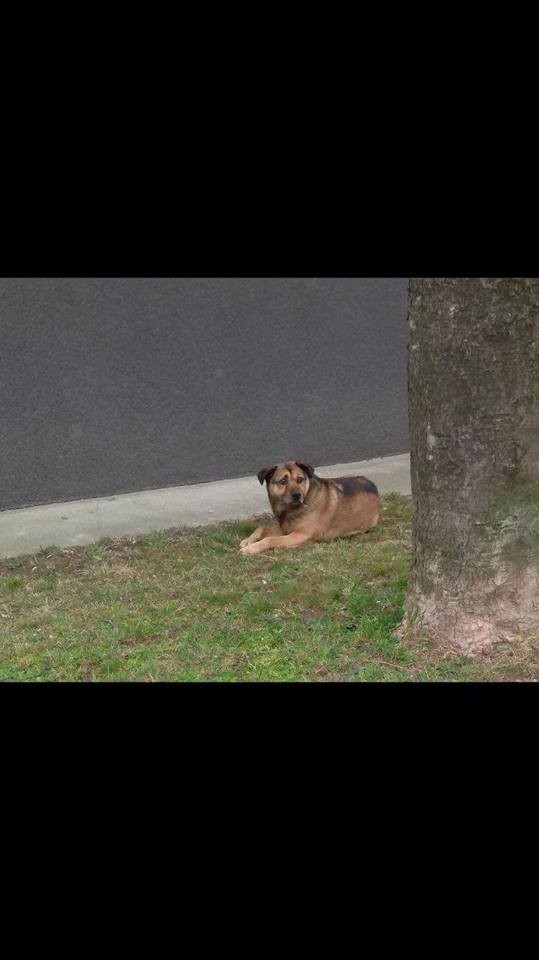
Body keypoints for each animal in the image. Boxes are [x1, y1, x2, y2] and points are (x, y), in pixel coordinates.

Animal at [239, 461, 380, 555]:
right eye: (283, 481)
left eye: (300, 479)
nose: (297, 495)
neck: (290, 510)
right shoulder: (284, 528)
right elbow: (262, 527)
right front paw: (248, 540)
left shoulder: (301, 534)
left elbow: (271, 539)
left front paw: (251, 548)